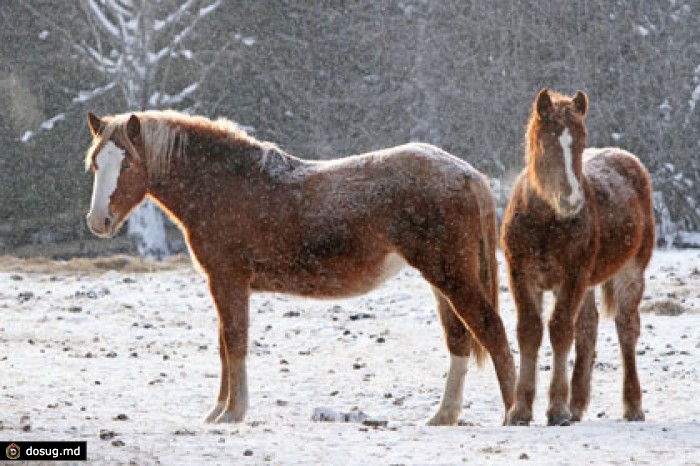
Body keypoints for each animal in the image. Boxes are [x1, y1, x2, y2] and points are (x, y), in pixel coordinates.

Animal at [85, 111, 516, 424]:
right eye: (95, 165)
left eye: (128, 164)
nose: (98, 221)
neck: (224, 186)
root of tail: (469, 175)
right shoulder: (221, 284)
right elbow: (224, 345)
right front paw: (217, 411)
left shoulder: (228, 281)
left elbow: (234, 343)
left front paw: (233, 413)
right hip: (441, 280)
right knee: (459, 339)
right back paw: (444, 415)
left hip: (452, 276)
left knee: (491, 330)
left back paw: (515, 413)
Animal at [500, 88, 652, 426]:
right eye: (546, 143)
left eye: (581, 142)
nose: (571, 201)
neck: (545, 222)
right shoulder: (521, 276)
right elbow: (530, 330)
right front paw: (520, 410)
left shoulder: (570, 277)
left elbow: (560, 330)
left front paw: (556, 408)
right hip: (588, 282)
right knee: (588, 328)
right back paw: (578, 403)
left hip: (630, 272)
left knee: (626, 328)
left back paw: (632, 406)